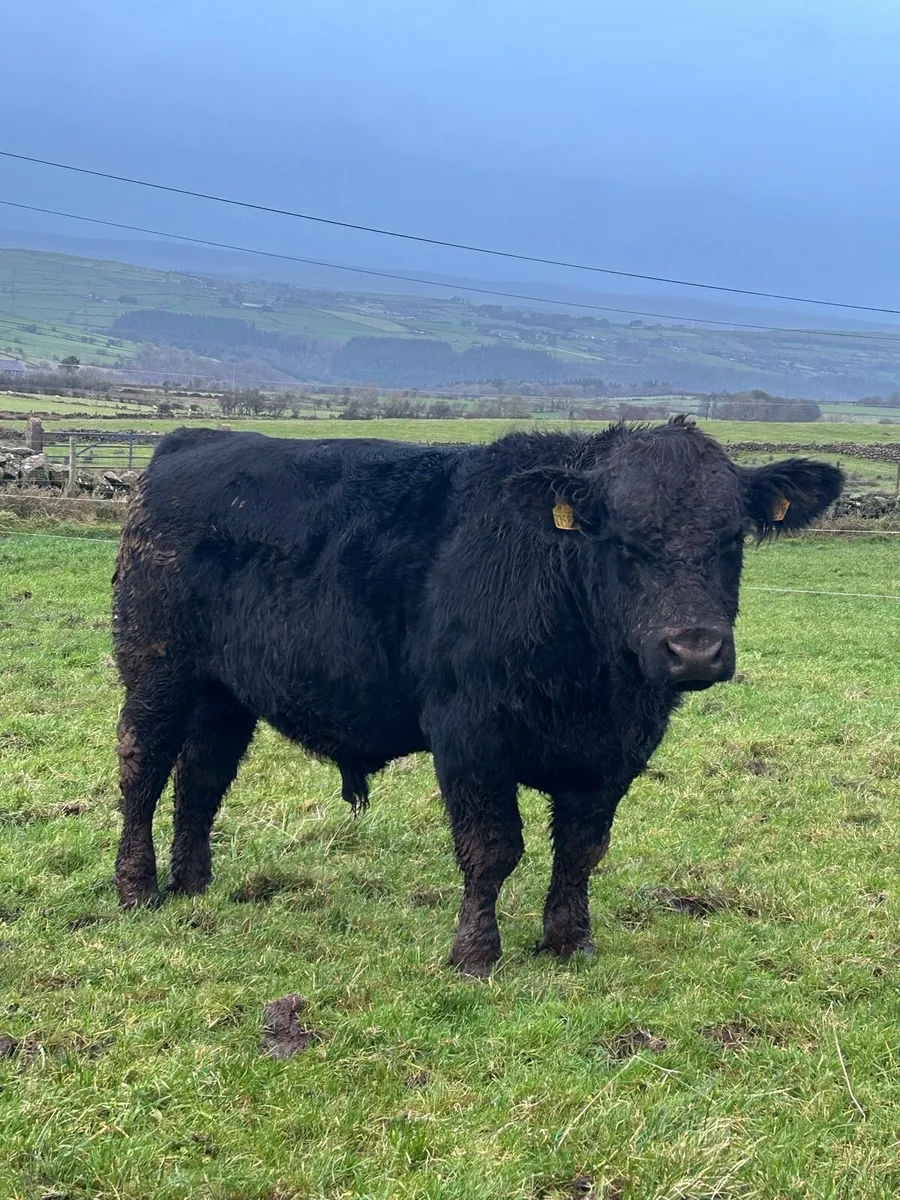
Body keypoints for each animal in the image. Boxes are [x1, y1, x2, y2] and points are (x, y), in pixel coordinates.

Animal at [111, 418, 842, 975]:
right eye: (622, 541)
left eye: (732, 537)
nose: (693, 648)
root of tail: (195, 441)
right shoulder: (469, 734)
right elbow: (492, 848)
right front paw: (475, 954)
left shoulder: (613, 756)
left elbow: (581, 850)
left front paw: (569, 942)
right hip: (156, 667)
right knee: (142, 770)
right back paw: (138, 889)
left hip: (223, 694)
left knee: (200, 781)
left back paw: (194, 886)